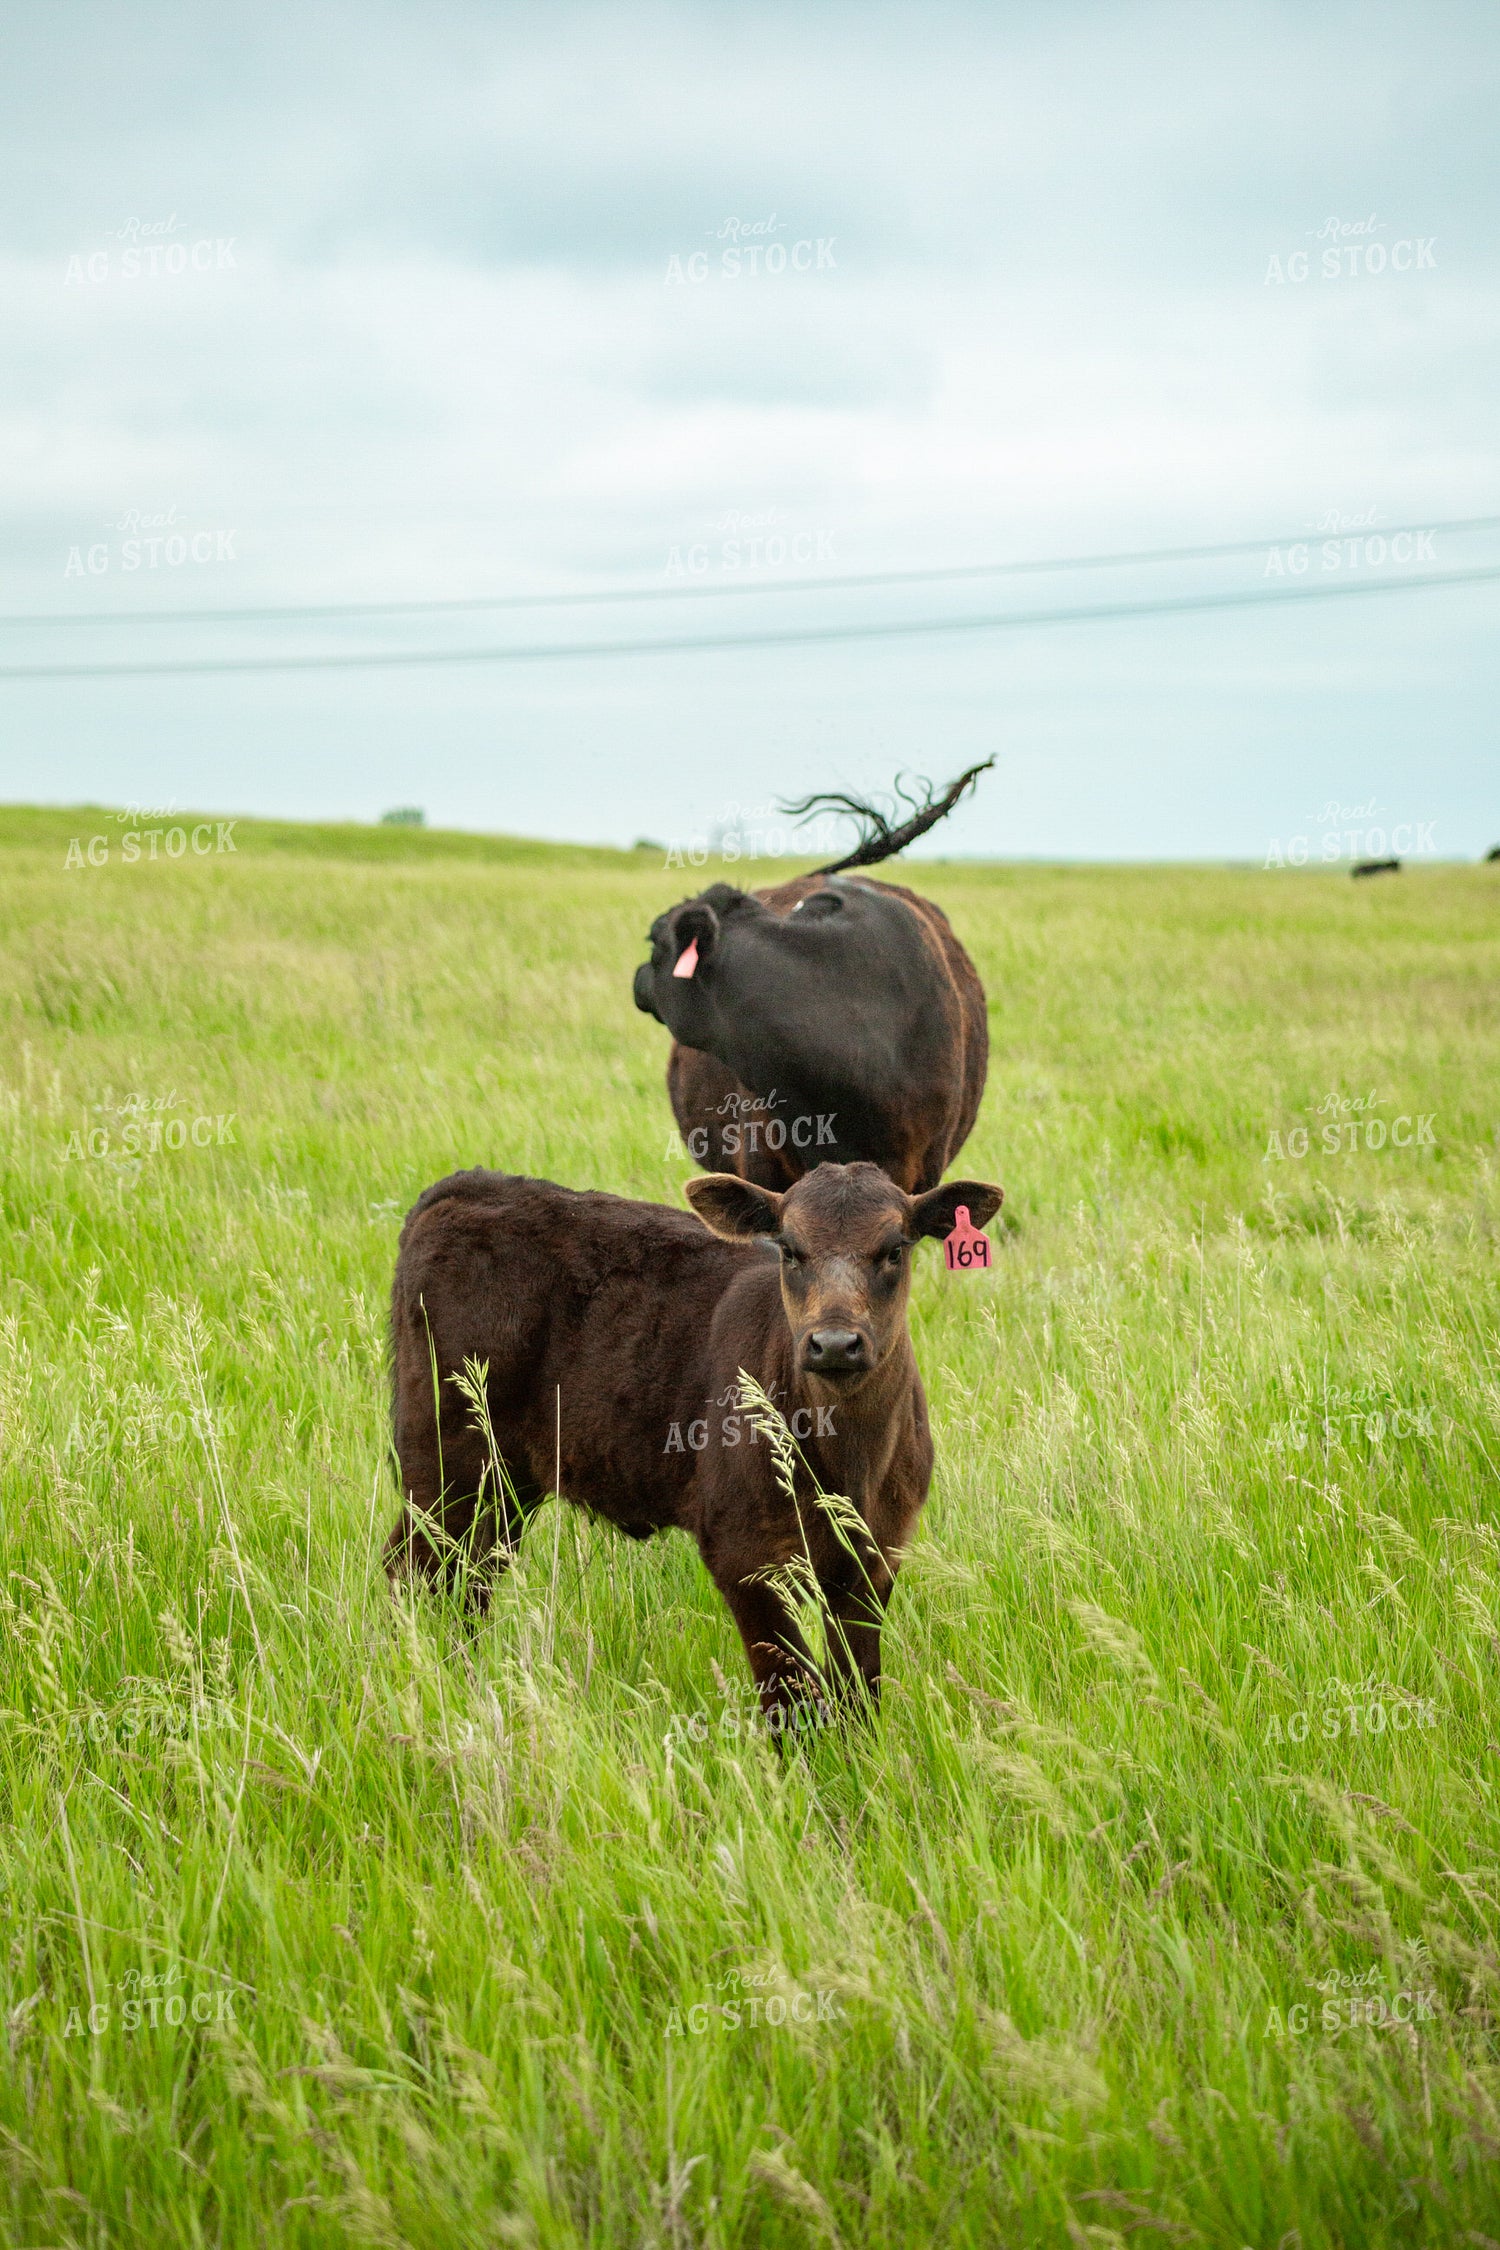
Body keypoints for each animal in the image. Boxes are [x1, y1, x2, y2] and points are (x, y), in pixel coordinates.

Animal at [383, 1160, 1003, 1724]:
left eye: (895, 1249)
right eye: (789, 1249)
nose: (833, 1343)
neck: (851, 1463)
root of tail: (469, 1184)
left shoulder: (878, 1556)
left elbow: (857, 1693)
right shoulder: (743, 1556)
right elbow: (791, 1700)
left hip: (506, 1483)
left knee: (470, 1579)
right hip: (444, 1463)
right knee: (414, 1572)